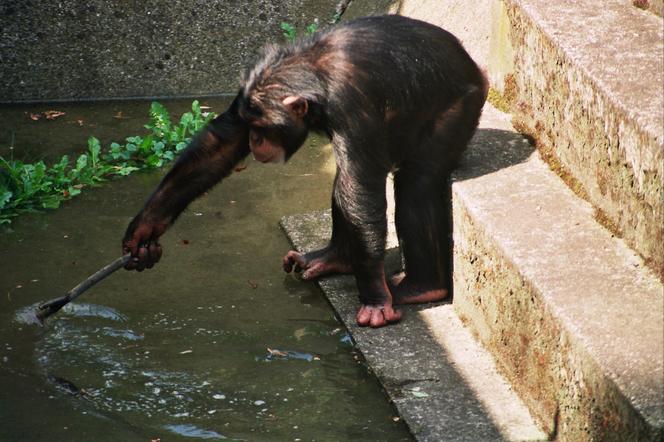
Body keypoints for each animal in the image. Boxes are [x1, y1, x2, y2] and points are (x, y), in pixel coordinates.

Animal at [123, 14, 488, 328]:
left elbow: (362, 188)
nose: (254, 139)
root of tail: (472, 64)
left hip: (462, 107)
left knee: (413, 182)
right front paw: (145, 229)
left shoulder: (352, 104)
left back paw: (421, 286)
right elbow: (220, 146)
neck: (313, 74)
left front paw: (374, 298)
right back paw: (333, 258)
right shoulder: (247, 91)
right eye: (251, 126)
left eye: (263, 128)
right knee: (344, 183)